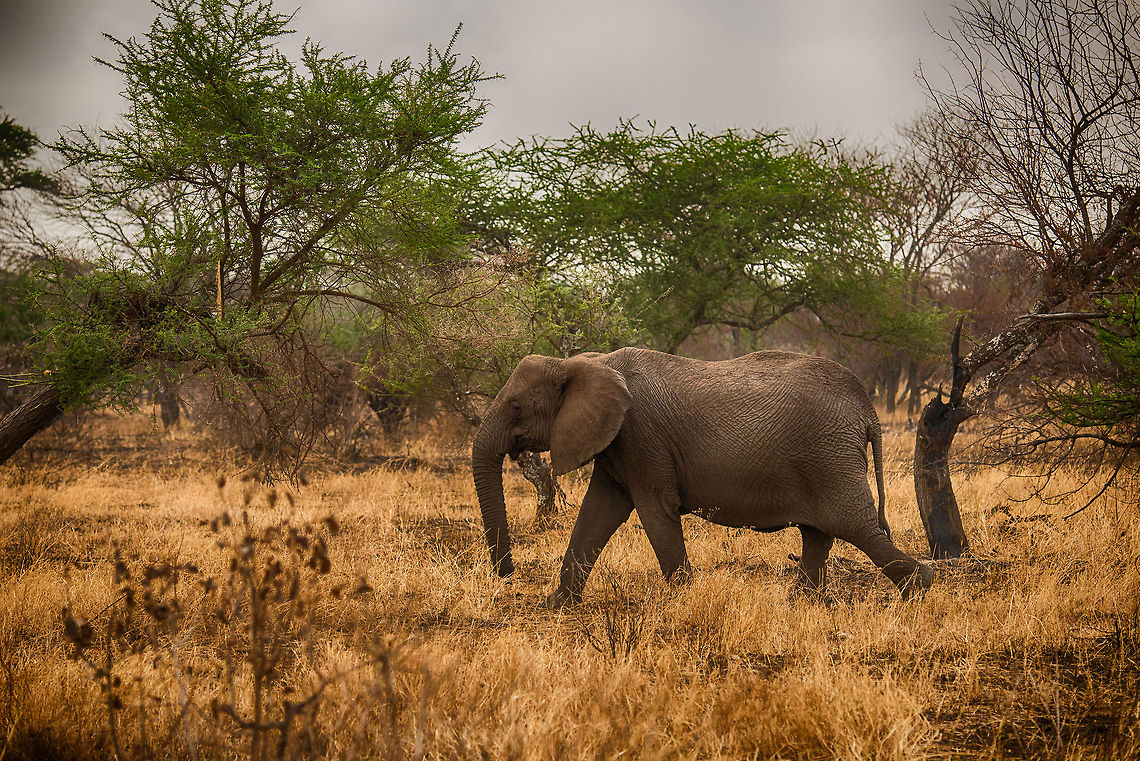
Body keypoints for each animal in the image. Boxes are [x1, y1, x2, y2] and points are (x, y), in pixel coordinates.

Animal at [471, 347, 934, 607]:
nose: (507, 575)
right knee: (820, 533)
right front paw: (555, 605)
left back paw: (919, 592)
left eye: (515, 407)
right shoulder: (616, 443)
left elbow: (655, 512)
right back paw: (801, 604)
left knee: (855, 526)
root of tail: (867, 410)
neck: (585, 363)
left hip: (828, 457)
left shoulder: (641, 436)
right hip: (823, 458)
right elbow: (597, 513)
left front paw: (683, 602)